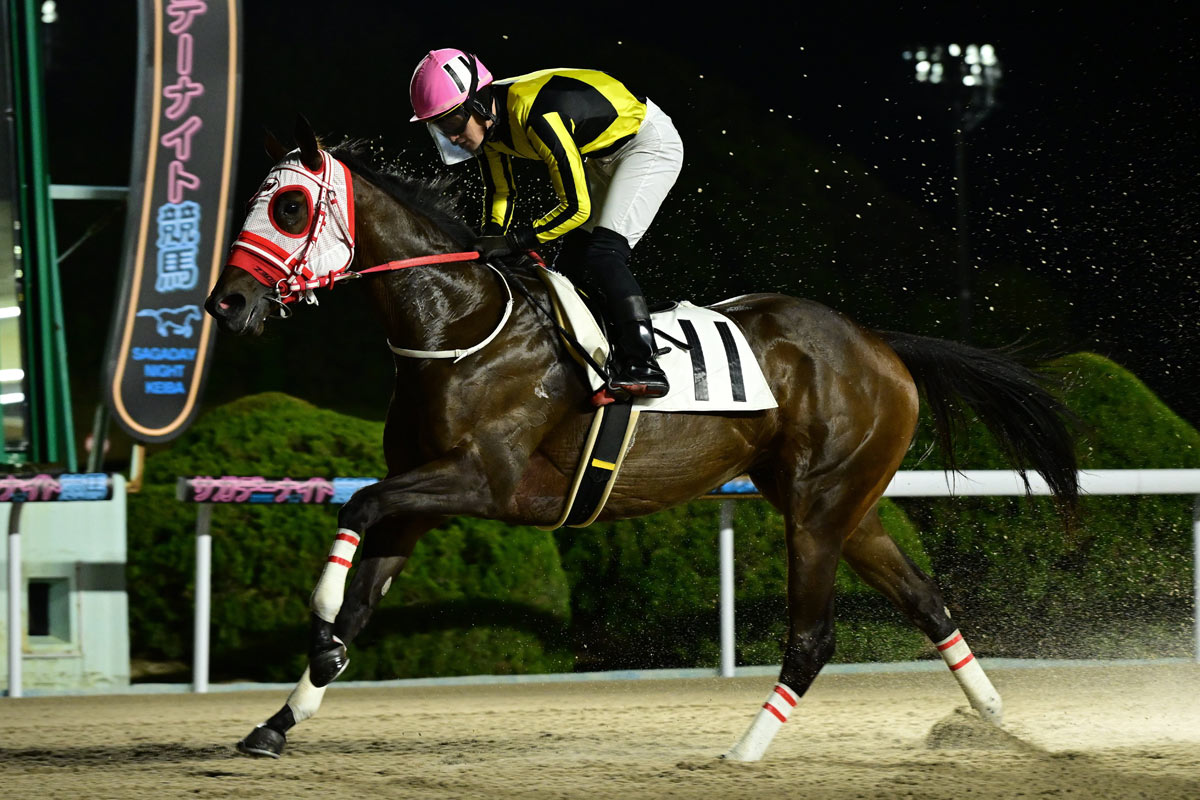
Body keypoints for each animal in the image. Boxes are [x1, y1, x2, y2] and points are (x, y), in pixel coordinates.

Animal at [205, 116, 1078, 761]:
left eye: (287, 207)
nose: (226, 303)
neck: (459, 327)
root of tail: (880, 343)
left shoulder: (485, 480)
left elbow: (356, 508)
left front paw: (317, 613)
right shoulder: (425, 495)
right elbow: (359, 597)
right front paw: (280, 716)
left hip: (818, 509)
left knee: (814, 636)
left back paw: (746, 749)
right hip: (845, 506)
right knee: (927, 601)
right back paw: (996, 721)